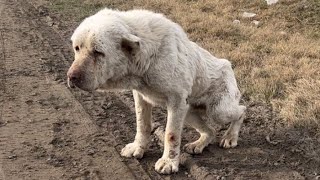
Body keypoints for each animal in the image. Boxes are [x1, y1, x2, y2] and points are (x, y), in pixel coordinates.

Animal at [67, 8, 245, 174]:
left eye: (98, 52)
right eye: (77, 48)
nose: (71, 77)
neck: (148, 60)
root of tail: (228, 65)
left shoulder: (176, 101)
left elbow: (171, 134)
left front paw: (169, 162)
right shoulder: (141, 96)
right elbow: (142, 125)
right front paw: (138, 147)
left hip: (218, 111)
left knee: (242, 110)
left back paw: (230, 137)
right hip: (188, 111)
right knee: (210, 131)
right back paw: (198, 145)